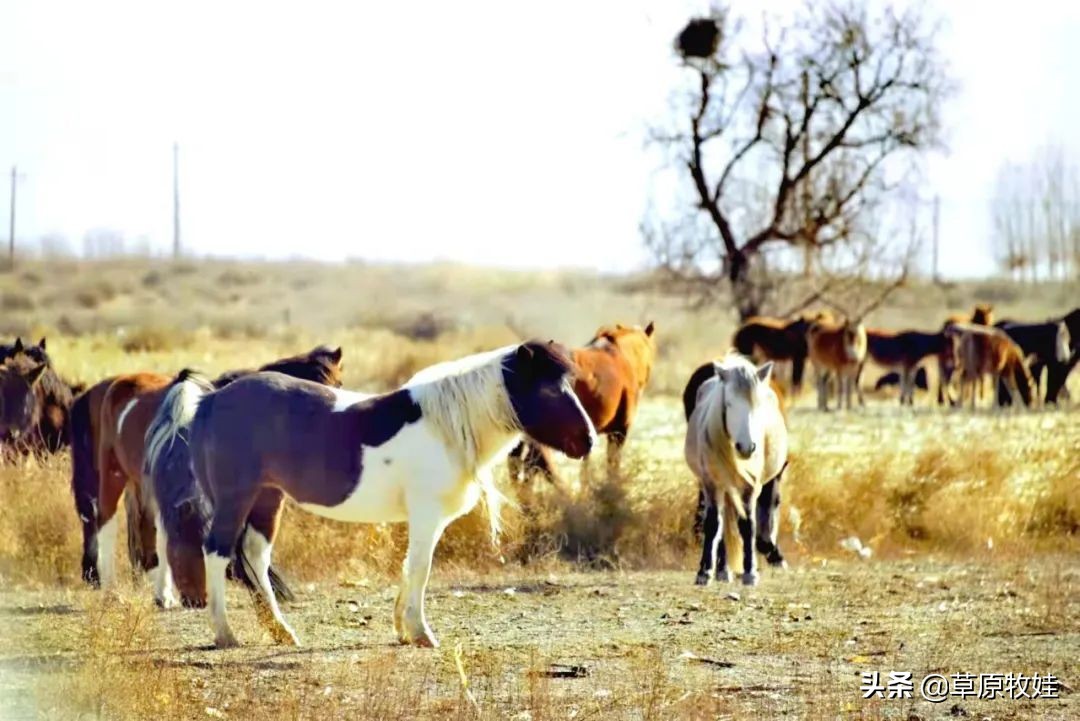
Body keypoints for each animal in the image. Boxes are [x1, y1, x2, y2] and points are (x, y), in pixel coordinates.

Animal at [686, 354, 790, 587]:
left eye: (758, 404)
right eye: (729, 403)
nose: (746, 447)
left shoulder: (749, 487)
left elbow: (747, 524)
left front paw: (750, 572)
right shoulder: (711, 483)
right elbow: (713, 524)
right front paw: (704, 572)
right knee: (722, 524)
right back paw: (722, 569)